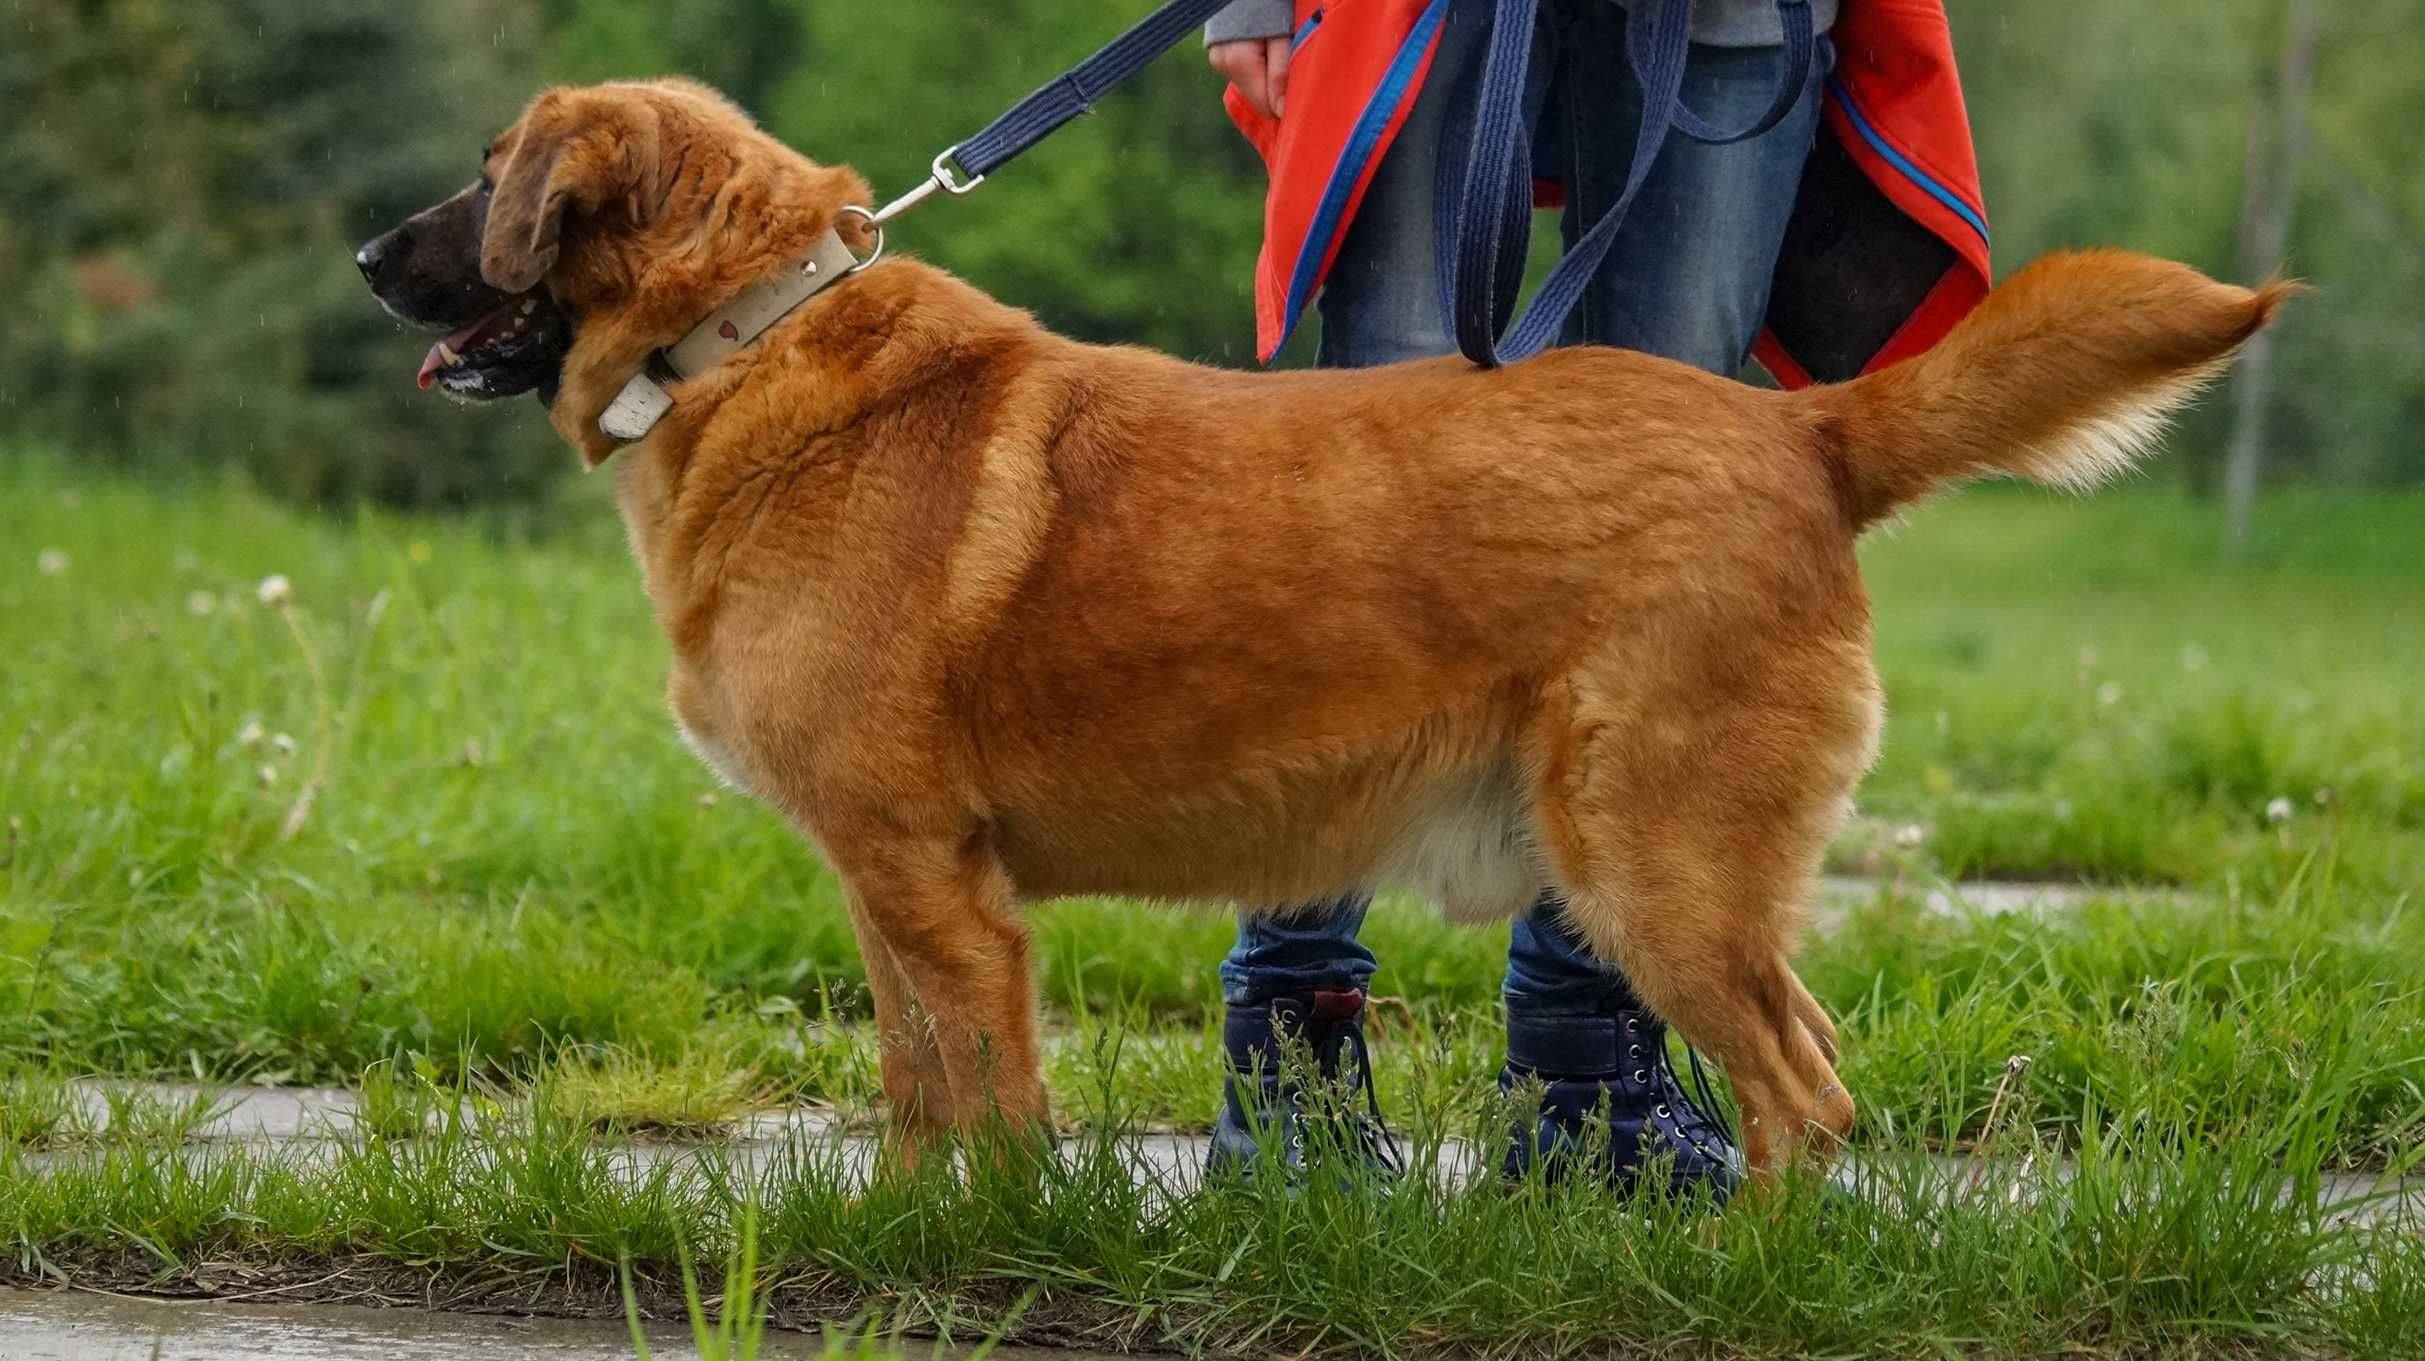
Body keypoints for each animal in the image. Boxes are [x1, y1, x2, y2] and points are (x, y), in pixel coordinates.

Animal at [358, 77, 2289, 1179]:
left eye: (488, 176)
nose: (370, 257)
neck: (748, 334)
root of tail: (1802, 430)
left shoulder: (932, 884)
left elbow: (987, 1108)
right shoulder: (891, 885)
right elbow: (916, 1091)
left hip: (1655, 869)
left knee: (1800, 1105)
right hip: (1681, 882)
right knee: (1816, 1081)